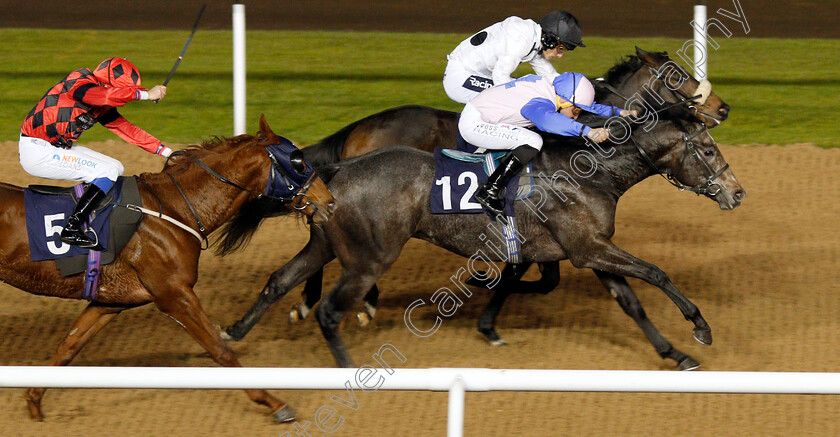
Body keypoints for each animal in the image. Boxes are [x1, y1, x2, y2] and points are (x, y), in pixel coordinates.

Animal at [0, 114, 334, 420]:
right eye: (299, 162)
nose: (330, 202)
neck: (177, 208)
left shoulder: (109, 302)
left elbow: (67, 347)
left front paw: (34, 401)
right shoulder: (174, 294)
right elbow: (220, 350)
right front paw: (274, 402)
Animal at [221, 118, 740, 368]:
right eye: (707, 149)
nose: (737, 193)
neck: (591, 173)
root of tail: (338, 170)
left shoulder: (588, 249)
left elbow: (629, 301)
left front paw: (675, 354)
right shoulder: (587, 248)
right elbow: (655, 272)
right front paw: (700, 327)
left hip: (325, 245)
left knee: (278, 280)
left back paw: (232, 335)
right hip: (370, 258)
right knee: (330, 310)